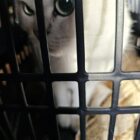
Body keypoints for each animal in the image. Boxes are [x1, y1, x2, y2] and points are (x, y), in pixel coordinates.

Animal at [15, 0, 133, 131]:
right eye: (27, 10)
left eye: (65, 5)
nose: (36, 33)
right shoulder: (51, 77)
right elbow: (61, 96)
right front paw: (64, 119)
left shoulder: (92, 78)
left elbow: (80, 99)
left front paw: (77, 122)